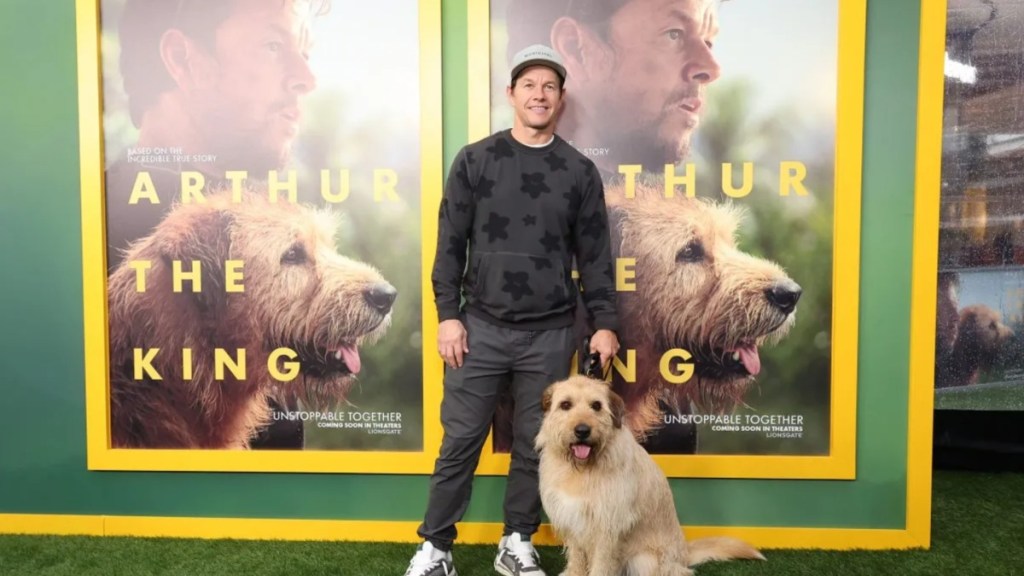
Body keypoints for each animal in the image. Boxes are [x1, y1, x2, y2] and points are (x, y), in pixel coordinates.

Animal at [536, 375, 761, 569]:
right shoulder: (573, 521)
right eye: (565, 405)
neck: (583, 469)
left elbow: (601, 566)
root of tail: (684, 555)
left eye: (596, 406)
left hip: (644, 560)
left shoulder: (607, 528)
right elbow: (576, 562)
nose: (582, 431)